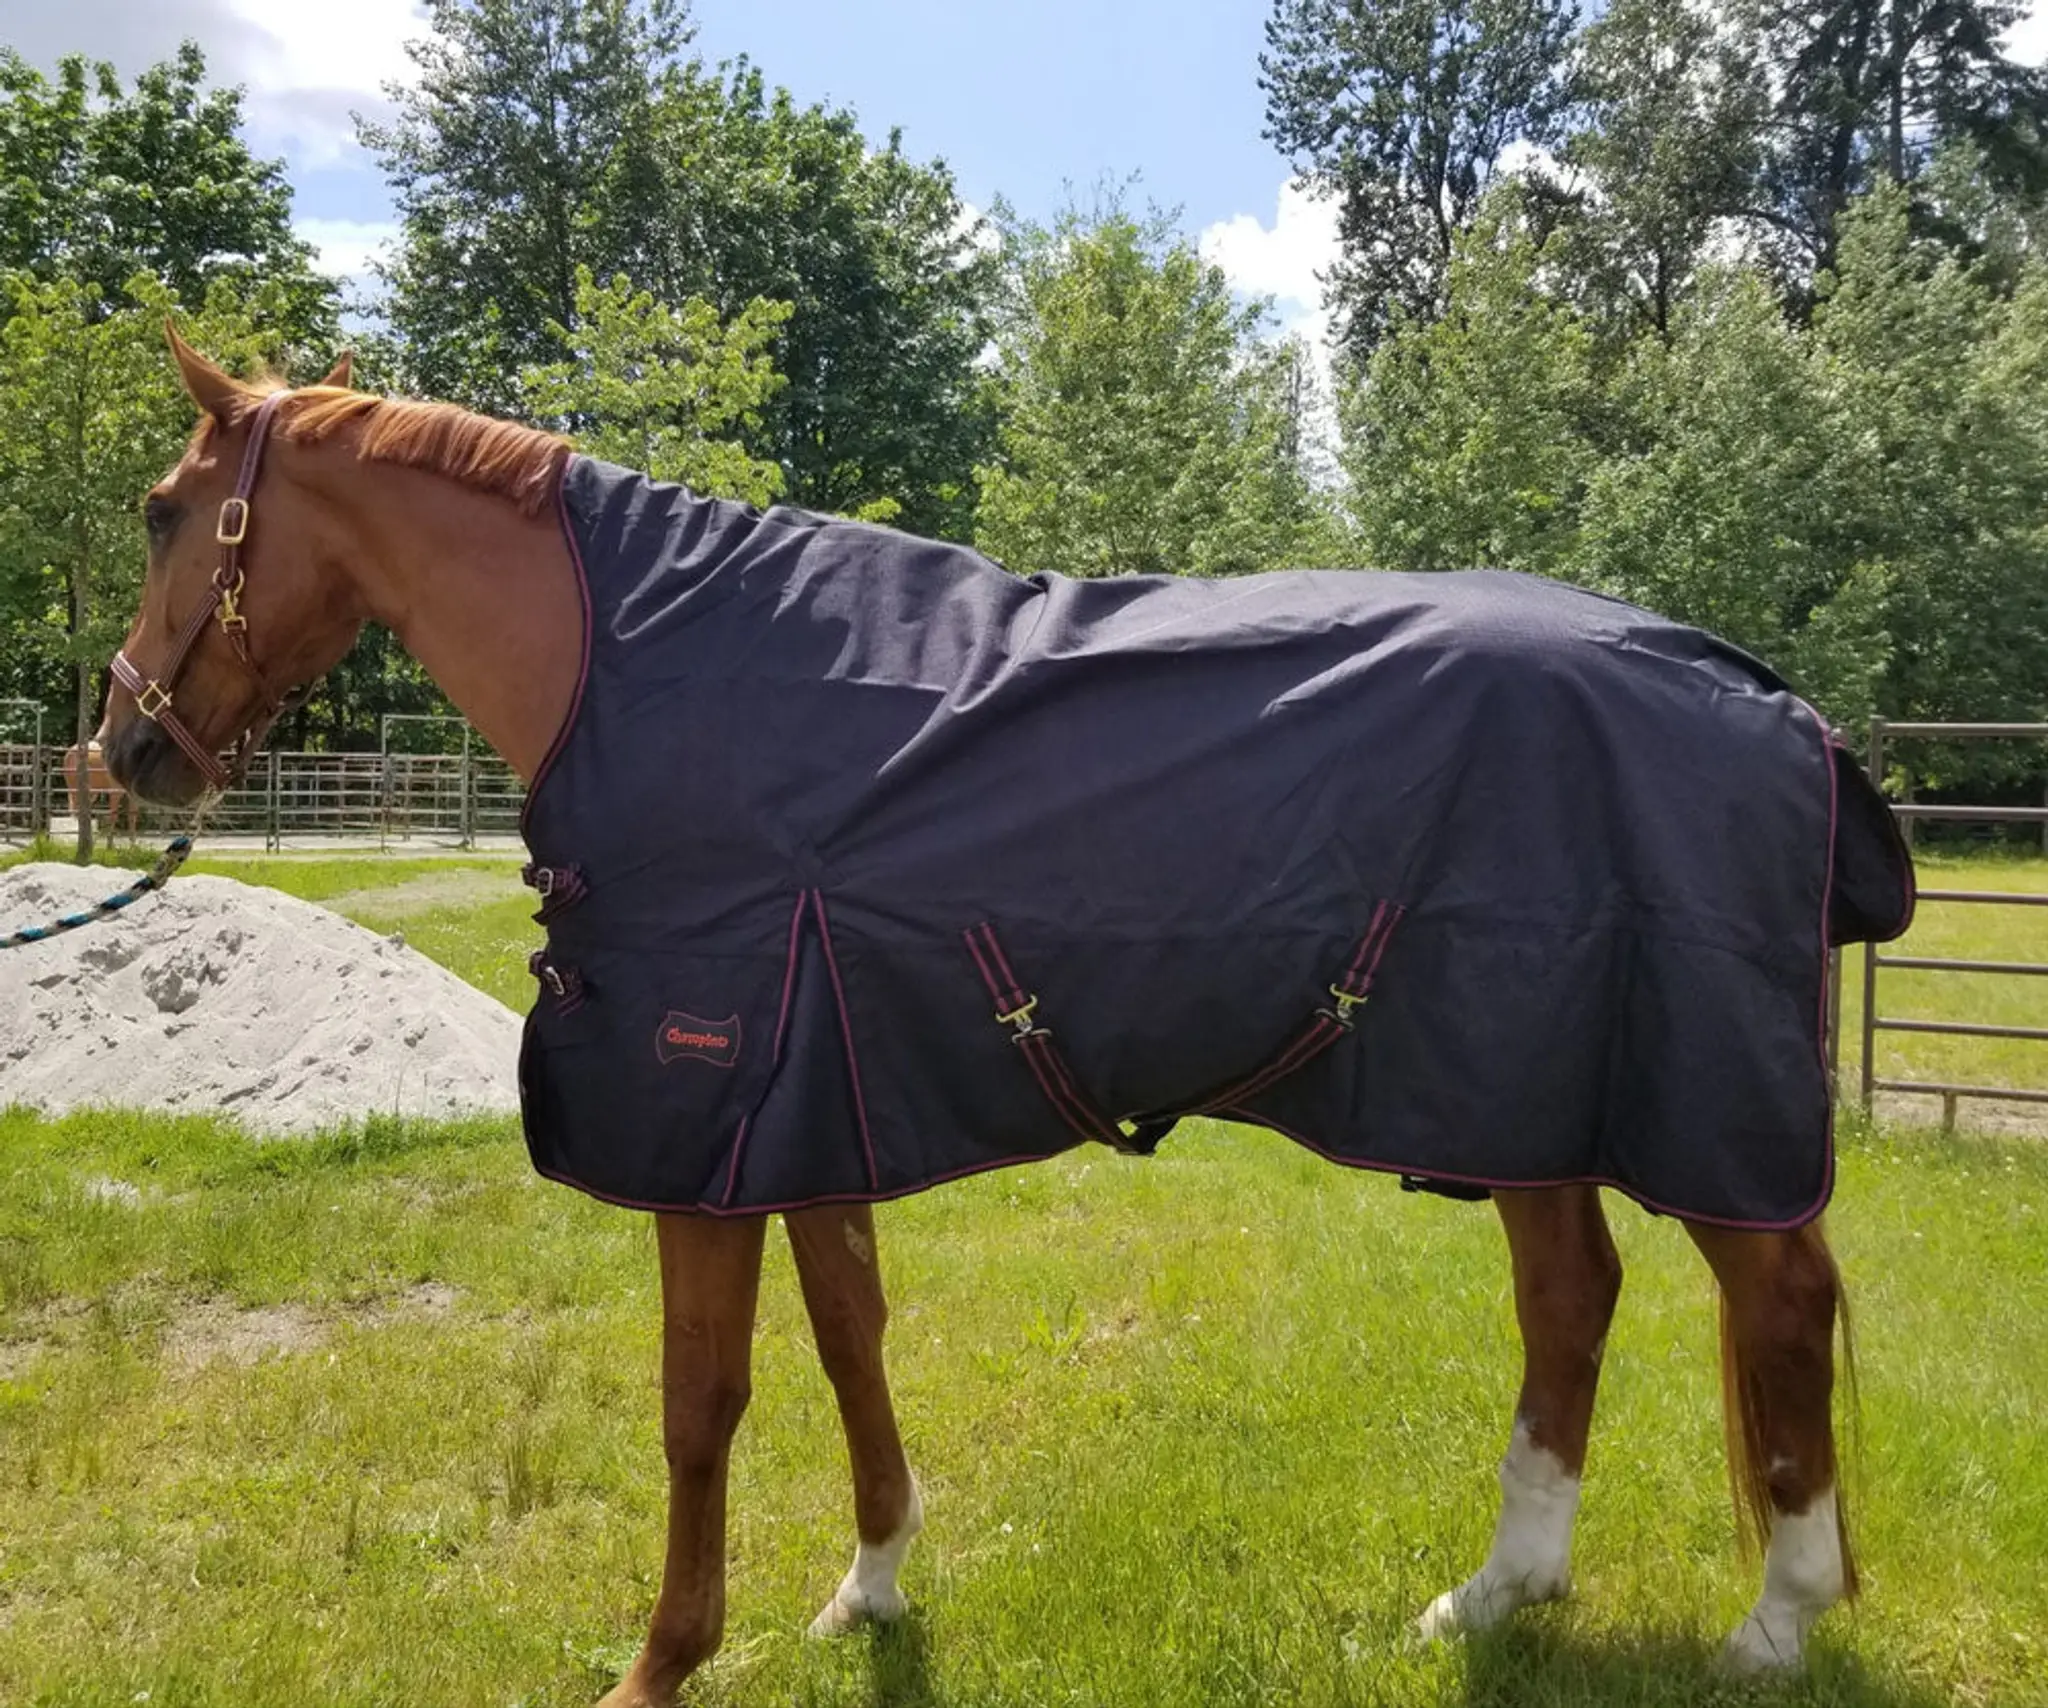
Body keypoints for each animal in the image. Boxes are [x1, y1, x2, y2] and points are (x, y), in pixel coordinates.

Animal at [98, 331, 1914, 1707]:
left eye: (166, 509)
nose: (125, 750)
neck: (645, 668)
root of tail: (1762, 694)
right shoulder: (809, 1110)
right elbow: (850, 1336)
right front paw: (872, 1582)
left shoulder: (707, 1133)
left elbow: (701, 1405)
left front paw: (660, 1663)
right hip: (1508, 1088)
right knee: (1570, 1298)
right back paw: (1493, 1595)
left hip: (1683, 1113)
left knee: (1780, 1304)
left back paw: (1773, 1624)